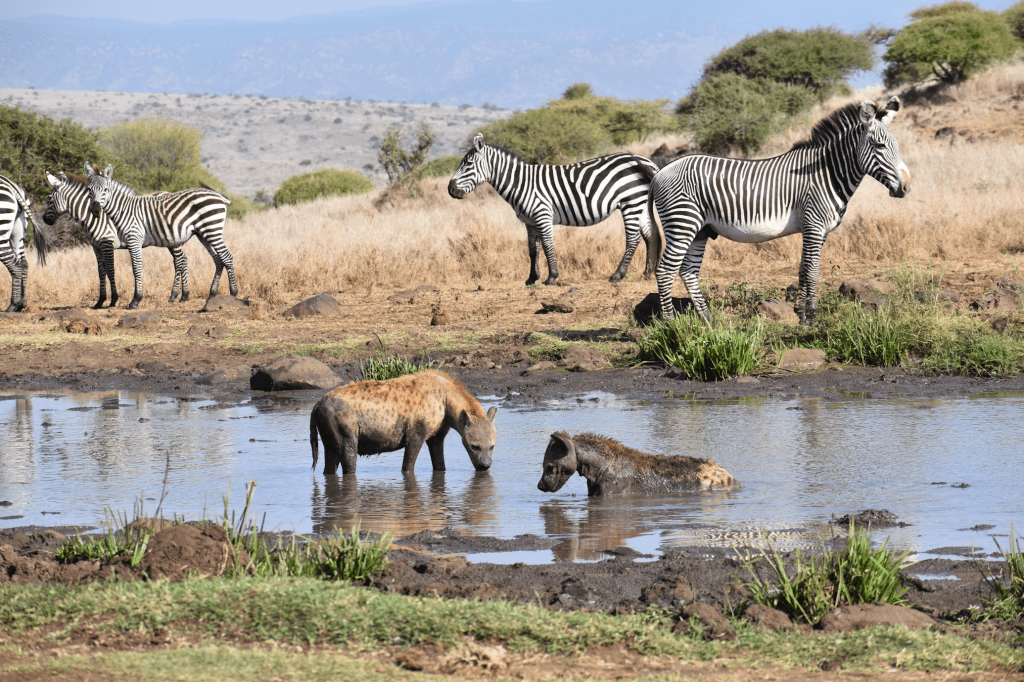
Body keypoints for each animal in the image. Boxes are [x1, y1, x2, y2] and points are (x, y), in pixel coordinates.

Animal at [1, 173, 52, 312]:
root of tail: (11, 186)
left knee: (15, 265)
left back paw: (14, 305)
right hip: (19, 232)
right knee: (23, 264)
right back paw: (22, 304)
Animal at [43, 172, 191, 309]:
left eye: (49, 198)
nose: (44, 220)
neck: (92, 216)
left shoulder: (106, 243)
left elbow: (110, 270)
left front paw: (113, 299)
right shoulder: (96, 246)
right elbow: (101, 272)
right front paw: (100, 301)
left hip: (173, 240)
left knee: (180, 261)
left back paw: (176, 295)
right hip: (170, 240)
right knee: (182, 260)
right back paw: (182, 296)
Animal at [84, 163, 238, 308]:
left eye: (105, 189)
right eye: (89, 189)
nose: (96, 210)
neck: (124, 210)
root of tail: (219, 196)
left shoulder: (133, 239)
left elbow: (136, 268)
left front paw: (136, 300)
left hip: (212, 230)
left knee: (226, 257)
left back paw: (233, 293)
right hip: (204, 233)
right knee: (218, 259)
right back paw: (212, 295)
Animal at [448, 134, 658, 285]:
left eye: (468, 164)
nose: (450, 189)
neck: (521, 183)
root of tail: (643, 159)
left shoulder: (542, 215)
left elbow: (548, 245)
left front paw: (552, 277)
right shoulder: (529, 222)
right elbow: (532, 249)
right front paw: (532, 278)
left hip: (631, 201)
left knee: (633, 238)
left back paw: (618, 275)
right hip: (640, 203)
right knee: (649, 236)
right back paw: (647, 272)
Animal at [646, 97, 911, 324]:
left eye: (897, 146)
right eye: (879, 146)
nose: (906, 187)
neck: (827, 173)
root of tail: (660, 173)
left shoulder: (818, 230)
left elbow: (803, 269)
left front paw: (801, 313)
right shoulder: (813, 225)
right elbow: (812, 271)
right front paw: (811, 317)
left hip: (700, 230)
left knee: (688, 271)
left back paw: (708, 320)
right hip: (682, 223)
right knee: (666, 271)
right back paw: (670, 323)